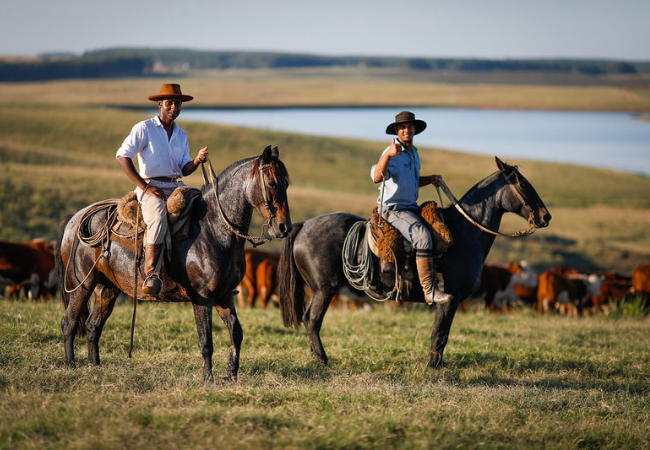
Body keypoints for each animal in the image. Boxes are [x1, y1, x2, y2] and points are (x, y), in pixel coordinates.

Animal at [58, 146, 292, 382]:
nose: (284, 227)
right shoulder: (202, 298)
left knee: (92, 326)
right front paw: (209, 379)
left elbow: (236, 334)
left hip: (107, 289)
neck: (213, 229)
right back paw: (70, 366)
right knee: (69, 322)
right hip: (81, 286)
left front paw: (231, 376)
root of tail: (75, 219)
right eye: (271, 183)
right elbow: (206, 342)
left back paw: (95, 366)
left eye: (286, 184)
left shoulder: (224, 296)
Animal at [276, 156, 548, 368]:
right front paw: (434, 366)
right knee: (312, 320)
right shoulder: (450, 299)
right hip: (324, 289)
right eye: (523, 184)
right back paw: (323, 360)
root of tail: (304, 226)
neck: (464, 231)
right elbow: (440, 334)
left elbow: (440, 334)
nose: (546, 216)